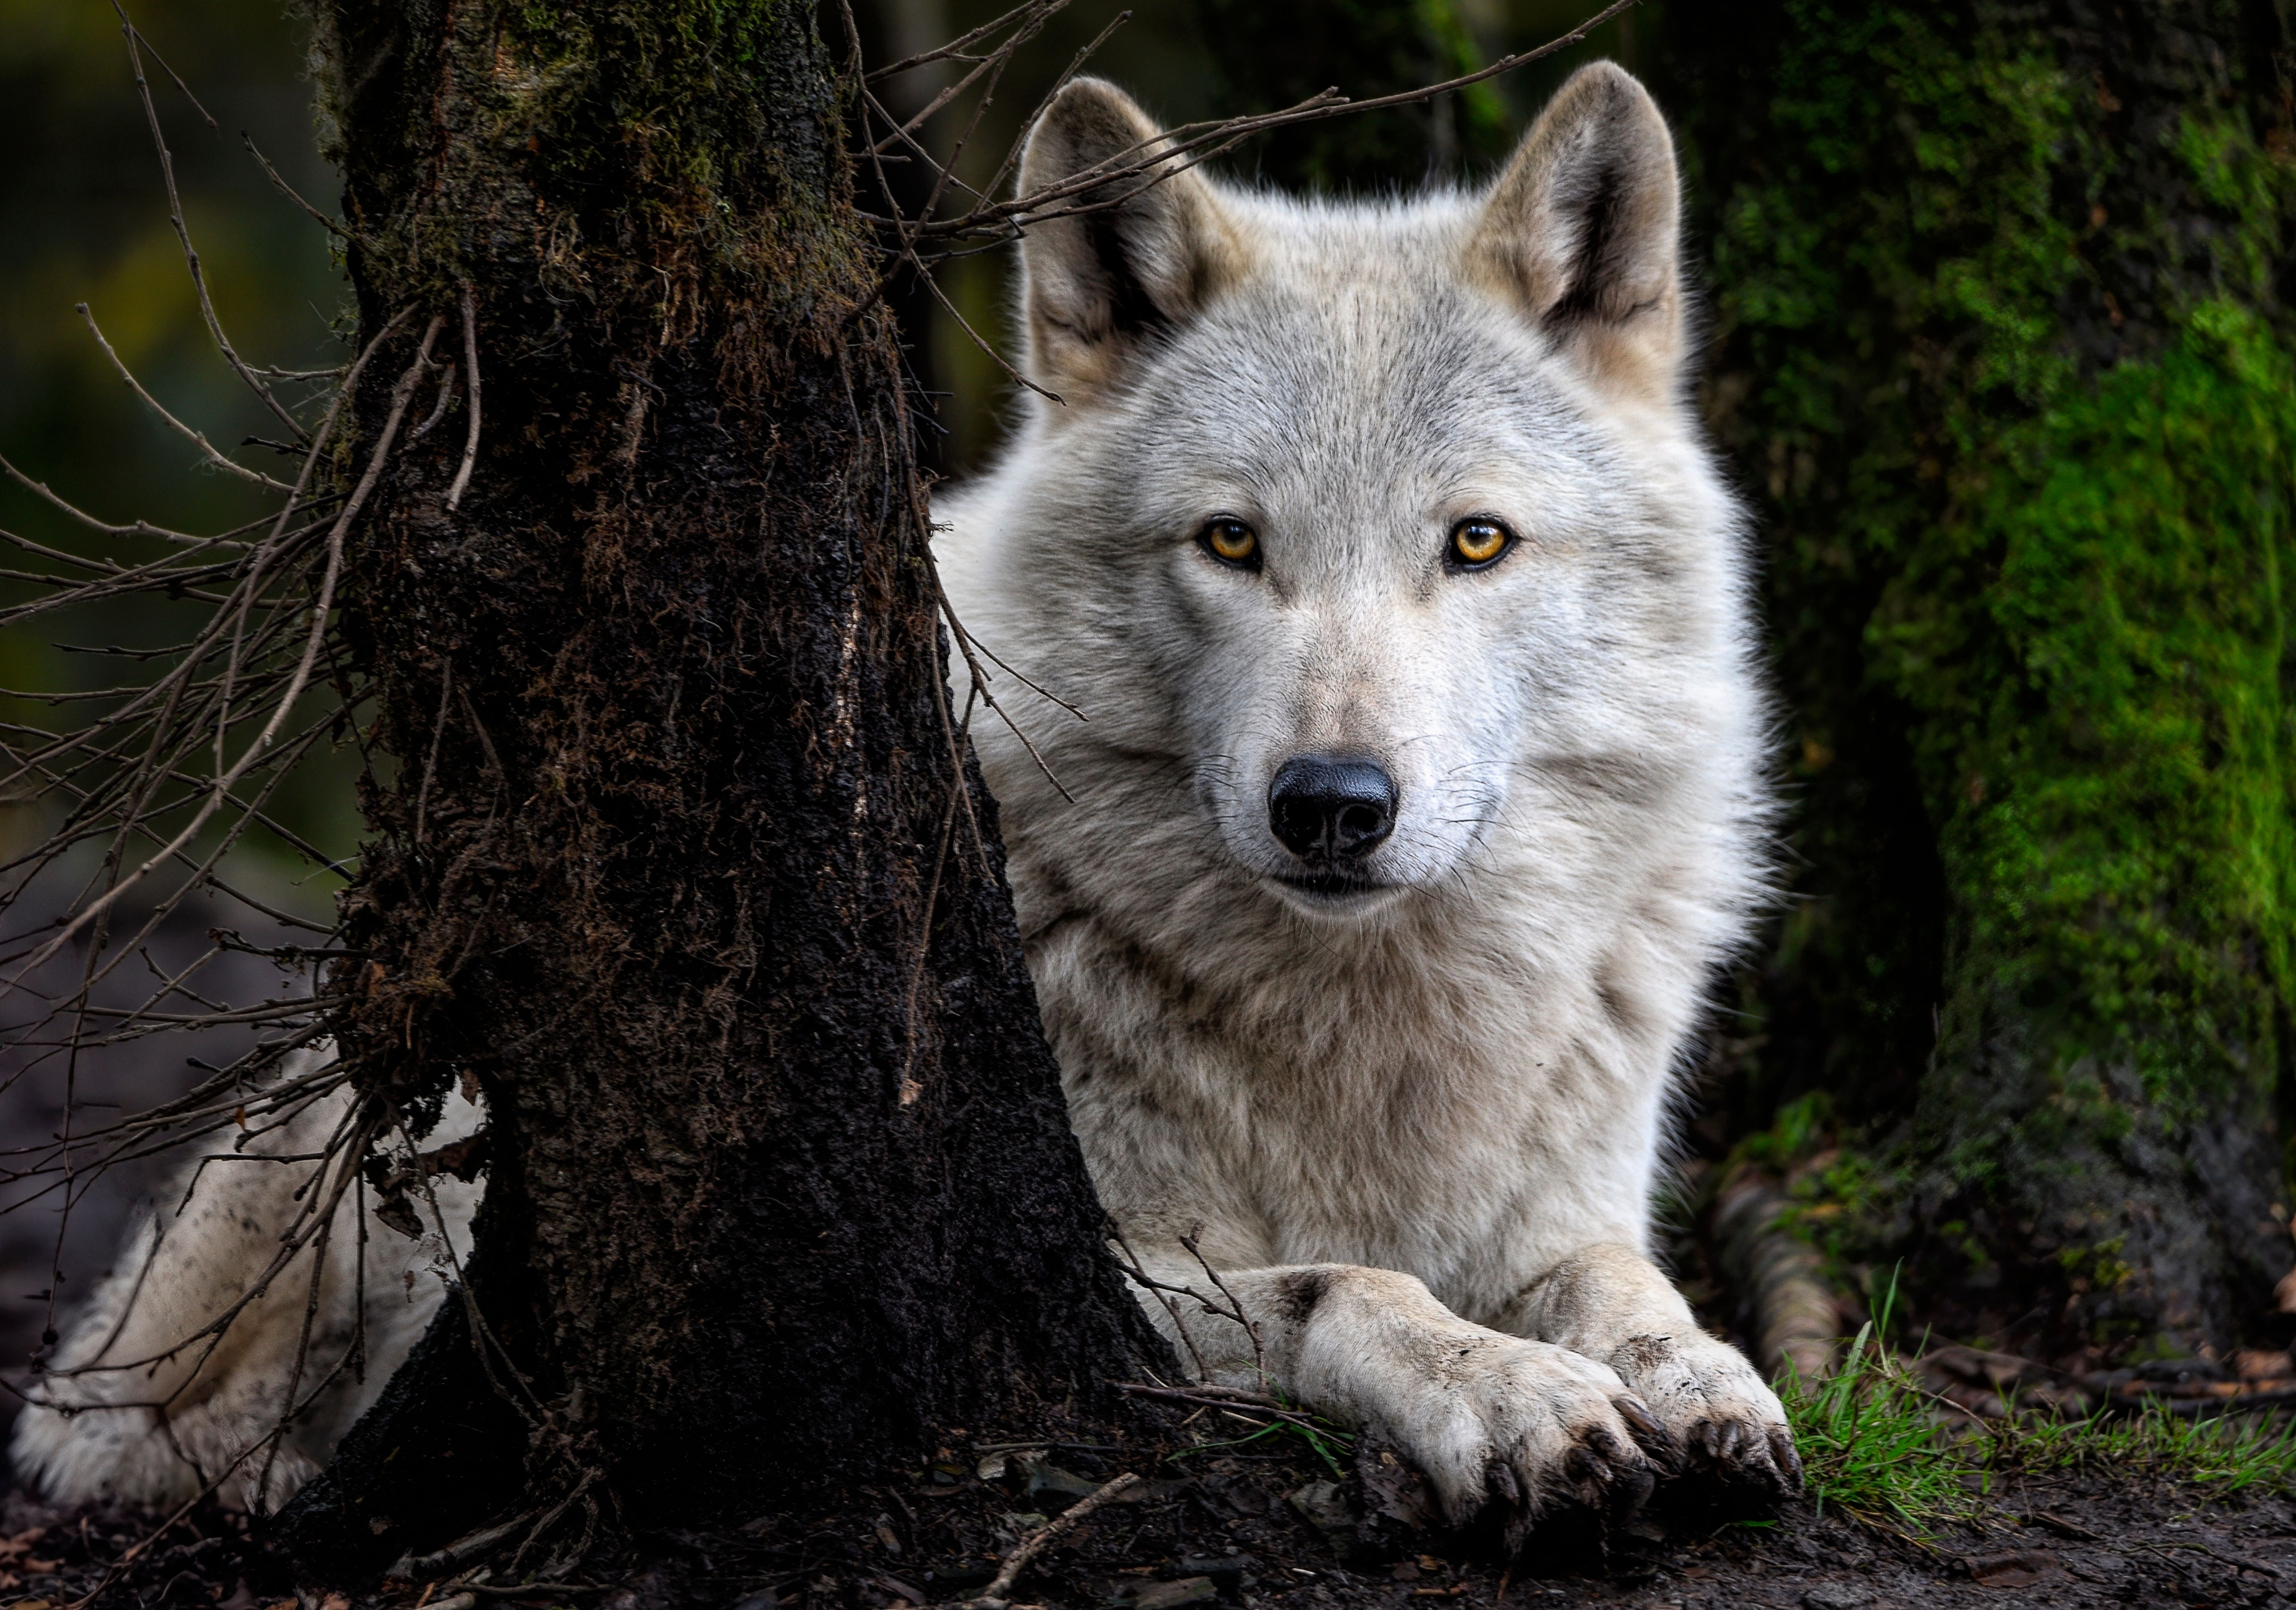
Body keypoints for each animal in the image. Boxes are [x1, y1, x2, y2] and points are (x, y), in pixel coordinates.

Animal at [12, 62, 1796, 1531]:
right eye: (1229, 541)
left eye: (1474, 542)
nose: (1331, 804)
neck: (1364, 1043)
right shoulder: (1098, 1267)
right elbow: (1357, 1286)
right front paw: (1518, 1401)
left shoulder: (1561, 1206)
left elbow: (1624, 1284)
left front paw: (1701, 1380)